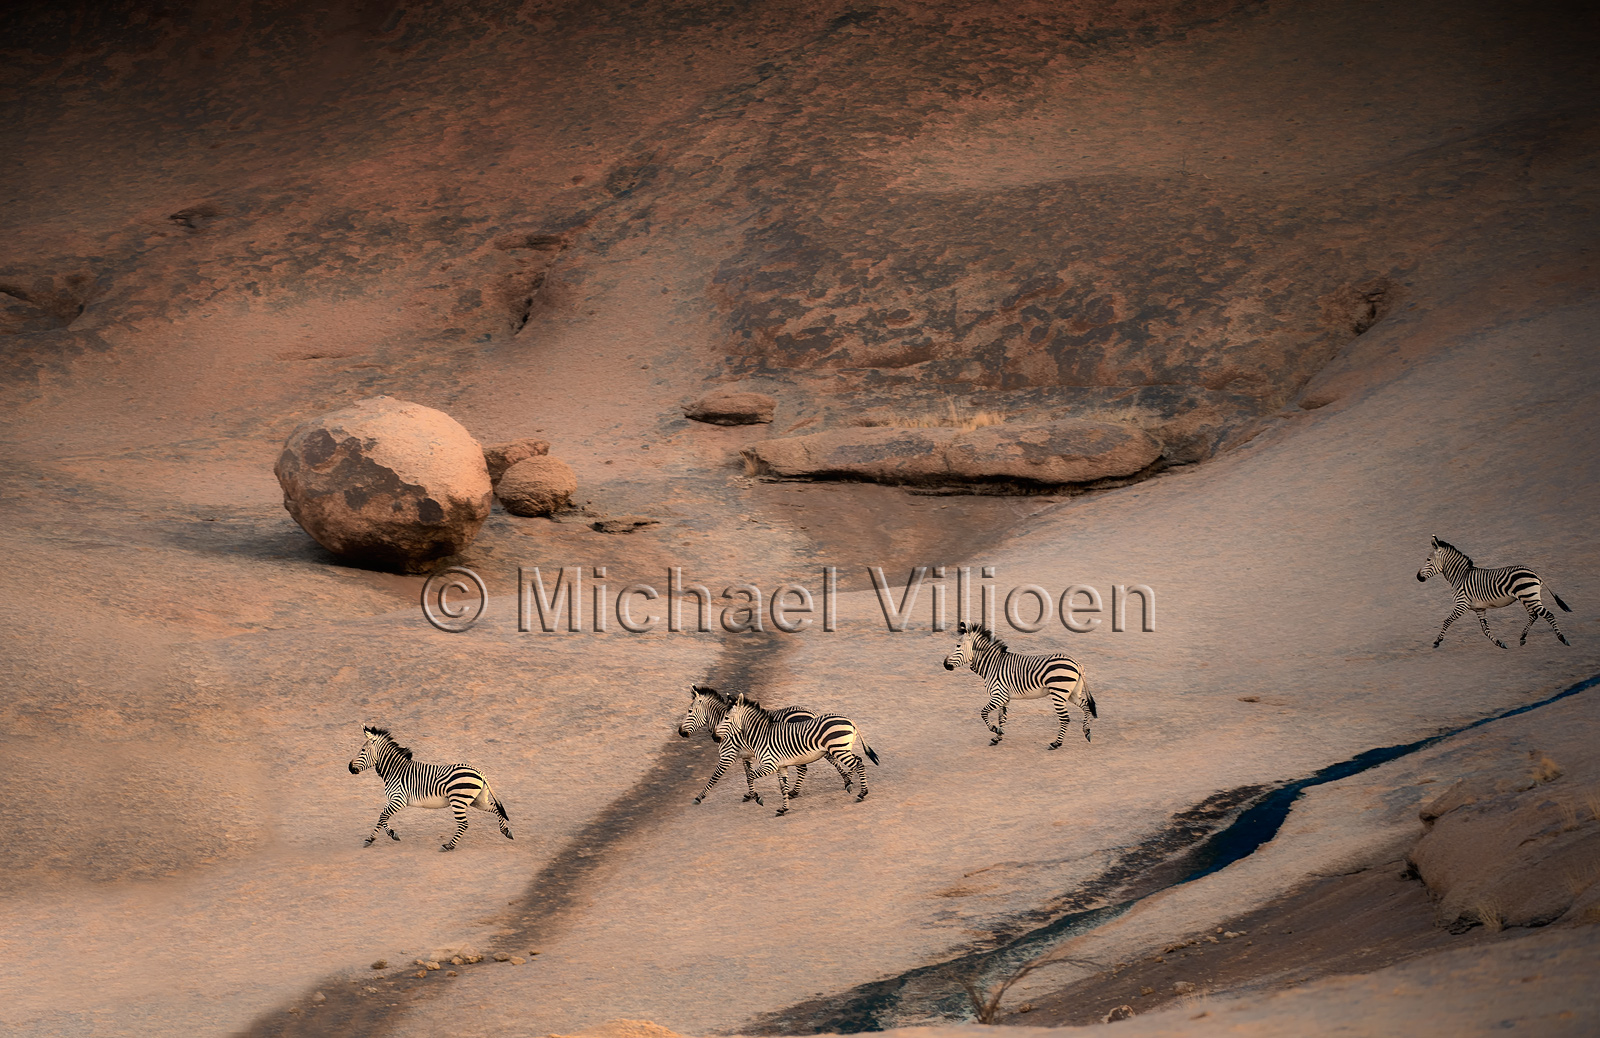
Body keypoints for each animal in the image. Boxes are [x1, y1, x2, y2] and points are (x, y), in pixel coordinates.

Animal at [347, 725, 513, 851]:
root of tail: (480, 773)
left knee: (464, 824)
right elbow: (382, 817)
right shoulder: (392, 800)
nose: (349, 767)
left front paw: (374, 838)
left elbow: (382, 816)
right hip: (477, 800)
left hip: (458, 801)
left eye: (362, 750)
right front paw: (388, 834)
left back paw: (448, 846)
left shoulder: (399, 800)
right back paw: (506, 831)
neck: (395, 770)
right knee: (495, 808)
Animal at [677, 685, 854, 803]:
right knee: (828, 760)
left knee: (811, 766)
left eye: (689, 711)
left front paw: (699, 797)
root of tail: (812, 713)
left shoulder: (728, 755)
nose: (680, 732)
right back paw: (845, 781)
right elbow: (748, 774)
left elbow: (714, 777)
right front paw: (751, 794)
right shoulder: (745, 756)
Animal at [703, 694, 879, 816]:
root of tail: (849, 720)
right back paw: (851, 783)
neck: (761, 735)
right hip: (842, 749)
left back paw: (862, 793)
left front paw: (757, 798)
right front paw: (783, 809)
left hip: (839, 749)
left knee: (858, 763)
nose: (714, 737)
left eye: (726, 718)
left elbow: (750, 777)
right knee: (858, 760)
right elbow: (783, 787)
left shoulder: (769, 765)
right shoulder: (781, 766)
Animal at [943, 621, 1096, 749]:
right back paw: (1087, 731)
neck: (992, 664)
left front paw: (994, 729)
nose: (945, 664)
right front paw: (998, 736)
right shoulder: (1004, 697)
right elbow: (1002, 717)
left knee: (1065, 718)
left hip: (1058, 693)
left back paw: (1056, 743)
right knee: (1086, 706)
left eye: (958, 646)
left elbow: (983, 712)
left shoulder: (998, 695)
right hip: (1072, 693)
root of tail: (1076, 663)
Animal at [1417, 536, 1572, 649]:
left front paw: (1437, 641)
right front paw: (1499, 643)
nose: (1418, 577)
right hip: (1528, 598)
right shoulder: (1479, 608)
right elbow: (1485, 630)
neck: (1460, 576)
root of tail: (1534, 572)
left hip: (1529, 597)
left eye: (1428, 559)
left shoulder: (1462, 604)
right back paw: (1522, 638)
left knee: (1548, 615)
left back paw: (1563, 639)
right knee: (1534, 615)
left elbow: (1447, 621)